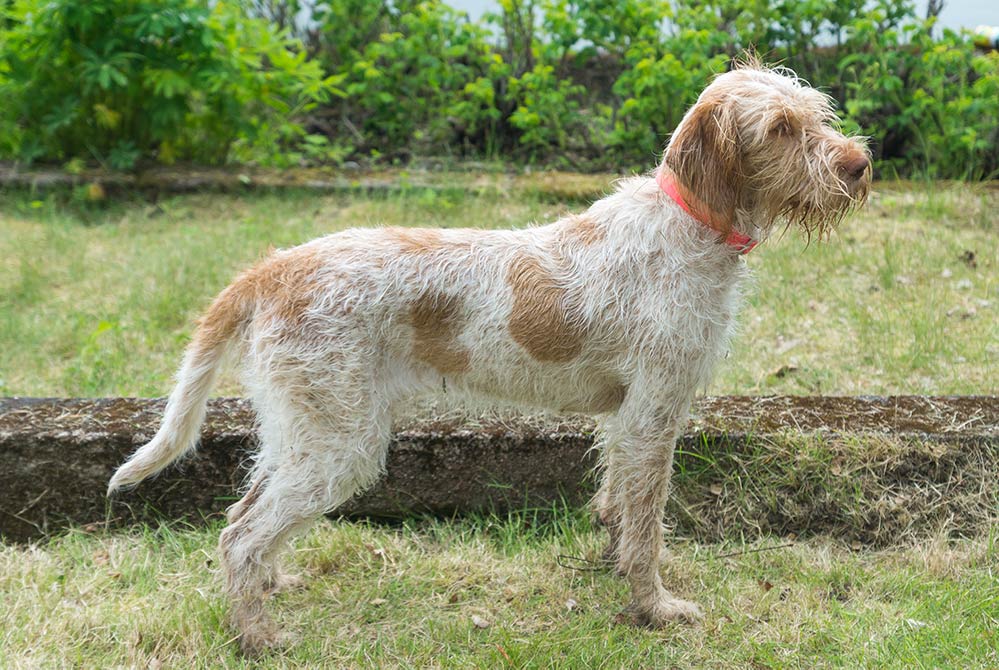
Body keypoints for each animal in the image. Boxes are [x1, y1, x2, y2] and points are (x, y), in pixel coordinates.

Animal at [109, 60, 872, 652]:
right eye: (778, 129)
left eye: (817, 114)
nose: (860, 164)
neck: (688, 224)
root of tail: (271, 268)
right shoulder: (652, 416)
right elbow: (646, 526)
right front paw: (652, 608)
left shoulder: (625, 421)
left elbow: (619, 507)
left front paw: (615, 571)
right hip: (342, 444)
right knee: (240, 535)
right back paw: (257, 637)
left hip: (300, 431)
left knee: (242, 517)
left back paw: (271, 586)